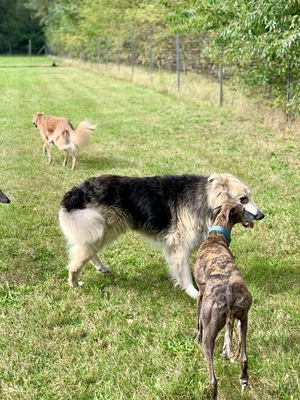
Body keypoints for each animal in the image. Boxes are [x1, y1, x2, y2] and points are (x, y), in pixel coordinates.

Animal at [59, 173, 264, 298]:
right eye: (243, 199)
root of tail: (81, 189)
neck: (206, 199)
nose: (261, 215)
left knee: (89, 253)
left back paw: (100, 268)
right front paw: (193, 292)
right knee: (76, 262)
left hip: (101, 232)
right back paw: (74, 283)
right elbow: (184, 274)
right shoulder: (179, 247)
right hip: (99, 228)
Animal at [195, 203, 253, 400]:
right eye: (243, 209)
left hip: (210, 333)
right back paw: (243, 378)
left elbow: (197, 322)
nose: (256, 216)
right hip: (244, 318)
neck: (216, 237)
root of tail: (228, 296)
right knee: (244, 358)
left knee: (213, 380)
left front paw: (196, 336)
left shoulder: (200, 295)